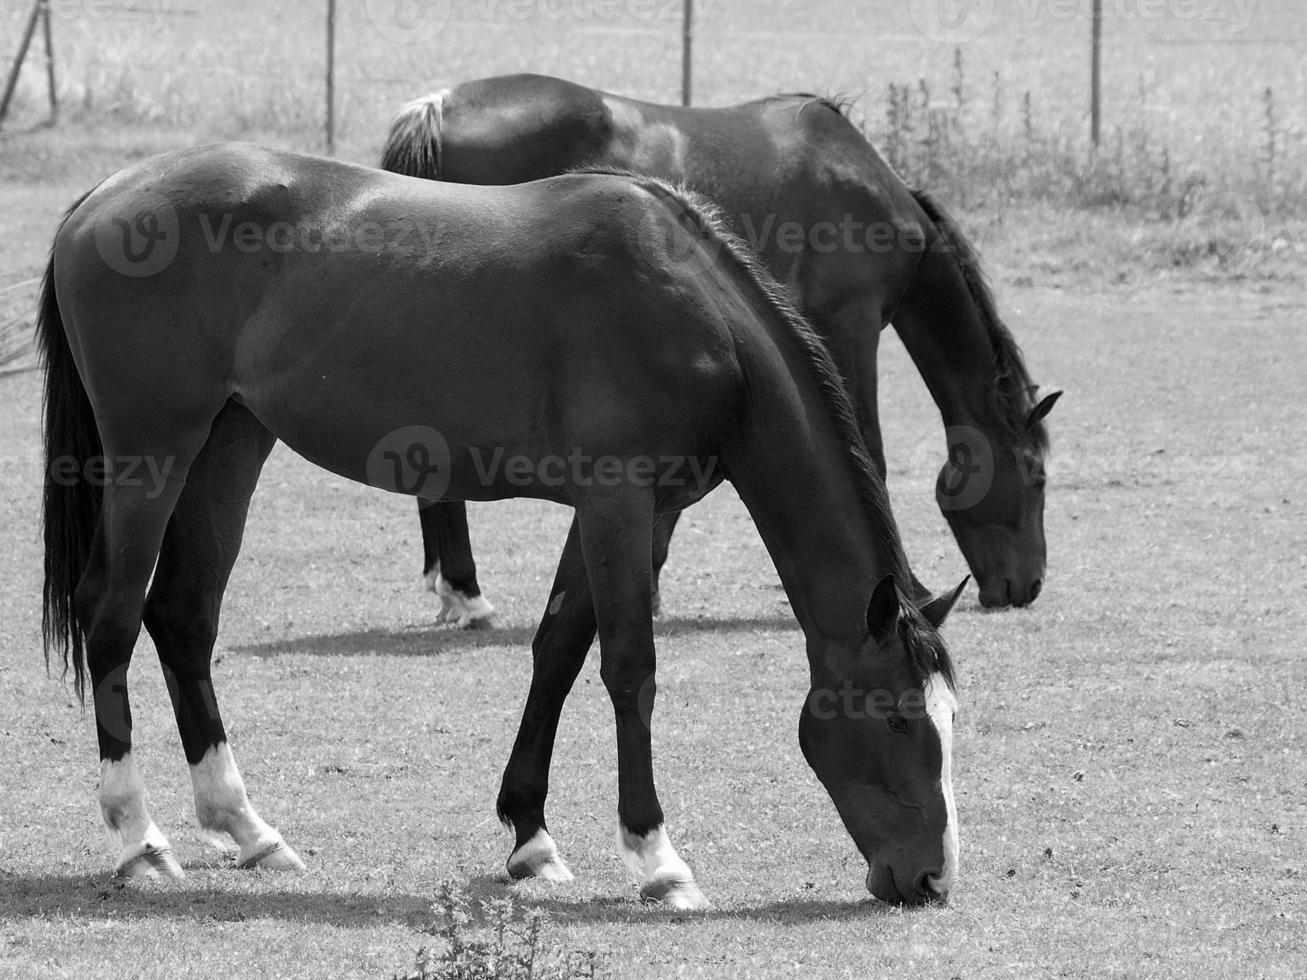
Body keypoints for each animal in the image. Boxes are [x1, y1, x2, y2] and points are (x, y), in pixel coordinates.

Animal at [40, 145, 967, 914]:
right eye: (894, 719)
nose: (930, 880)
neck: (696, 317)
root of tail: (103, 195)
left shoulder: (636, 511)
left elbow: (557, 651)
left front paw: (531, 838)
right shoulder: (617, 501)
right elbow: (630, 669)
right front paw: (658, 861)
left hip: (230, 443)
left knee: (183, 618)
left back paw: (248, 829)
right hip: (153, 454)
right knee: (112, 615)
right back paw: (140, 843)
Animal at [381, 72, 1061, 621]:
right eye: (1036, 476)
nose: (1026, 586)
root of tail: (436, 108)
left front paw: (649, 580)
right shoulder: (851, 327)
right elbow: (870, 450)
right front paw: (910, 587)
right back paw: (466, 592)